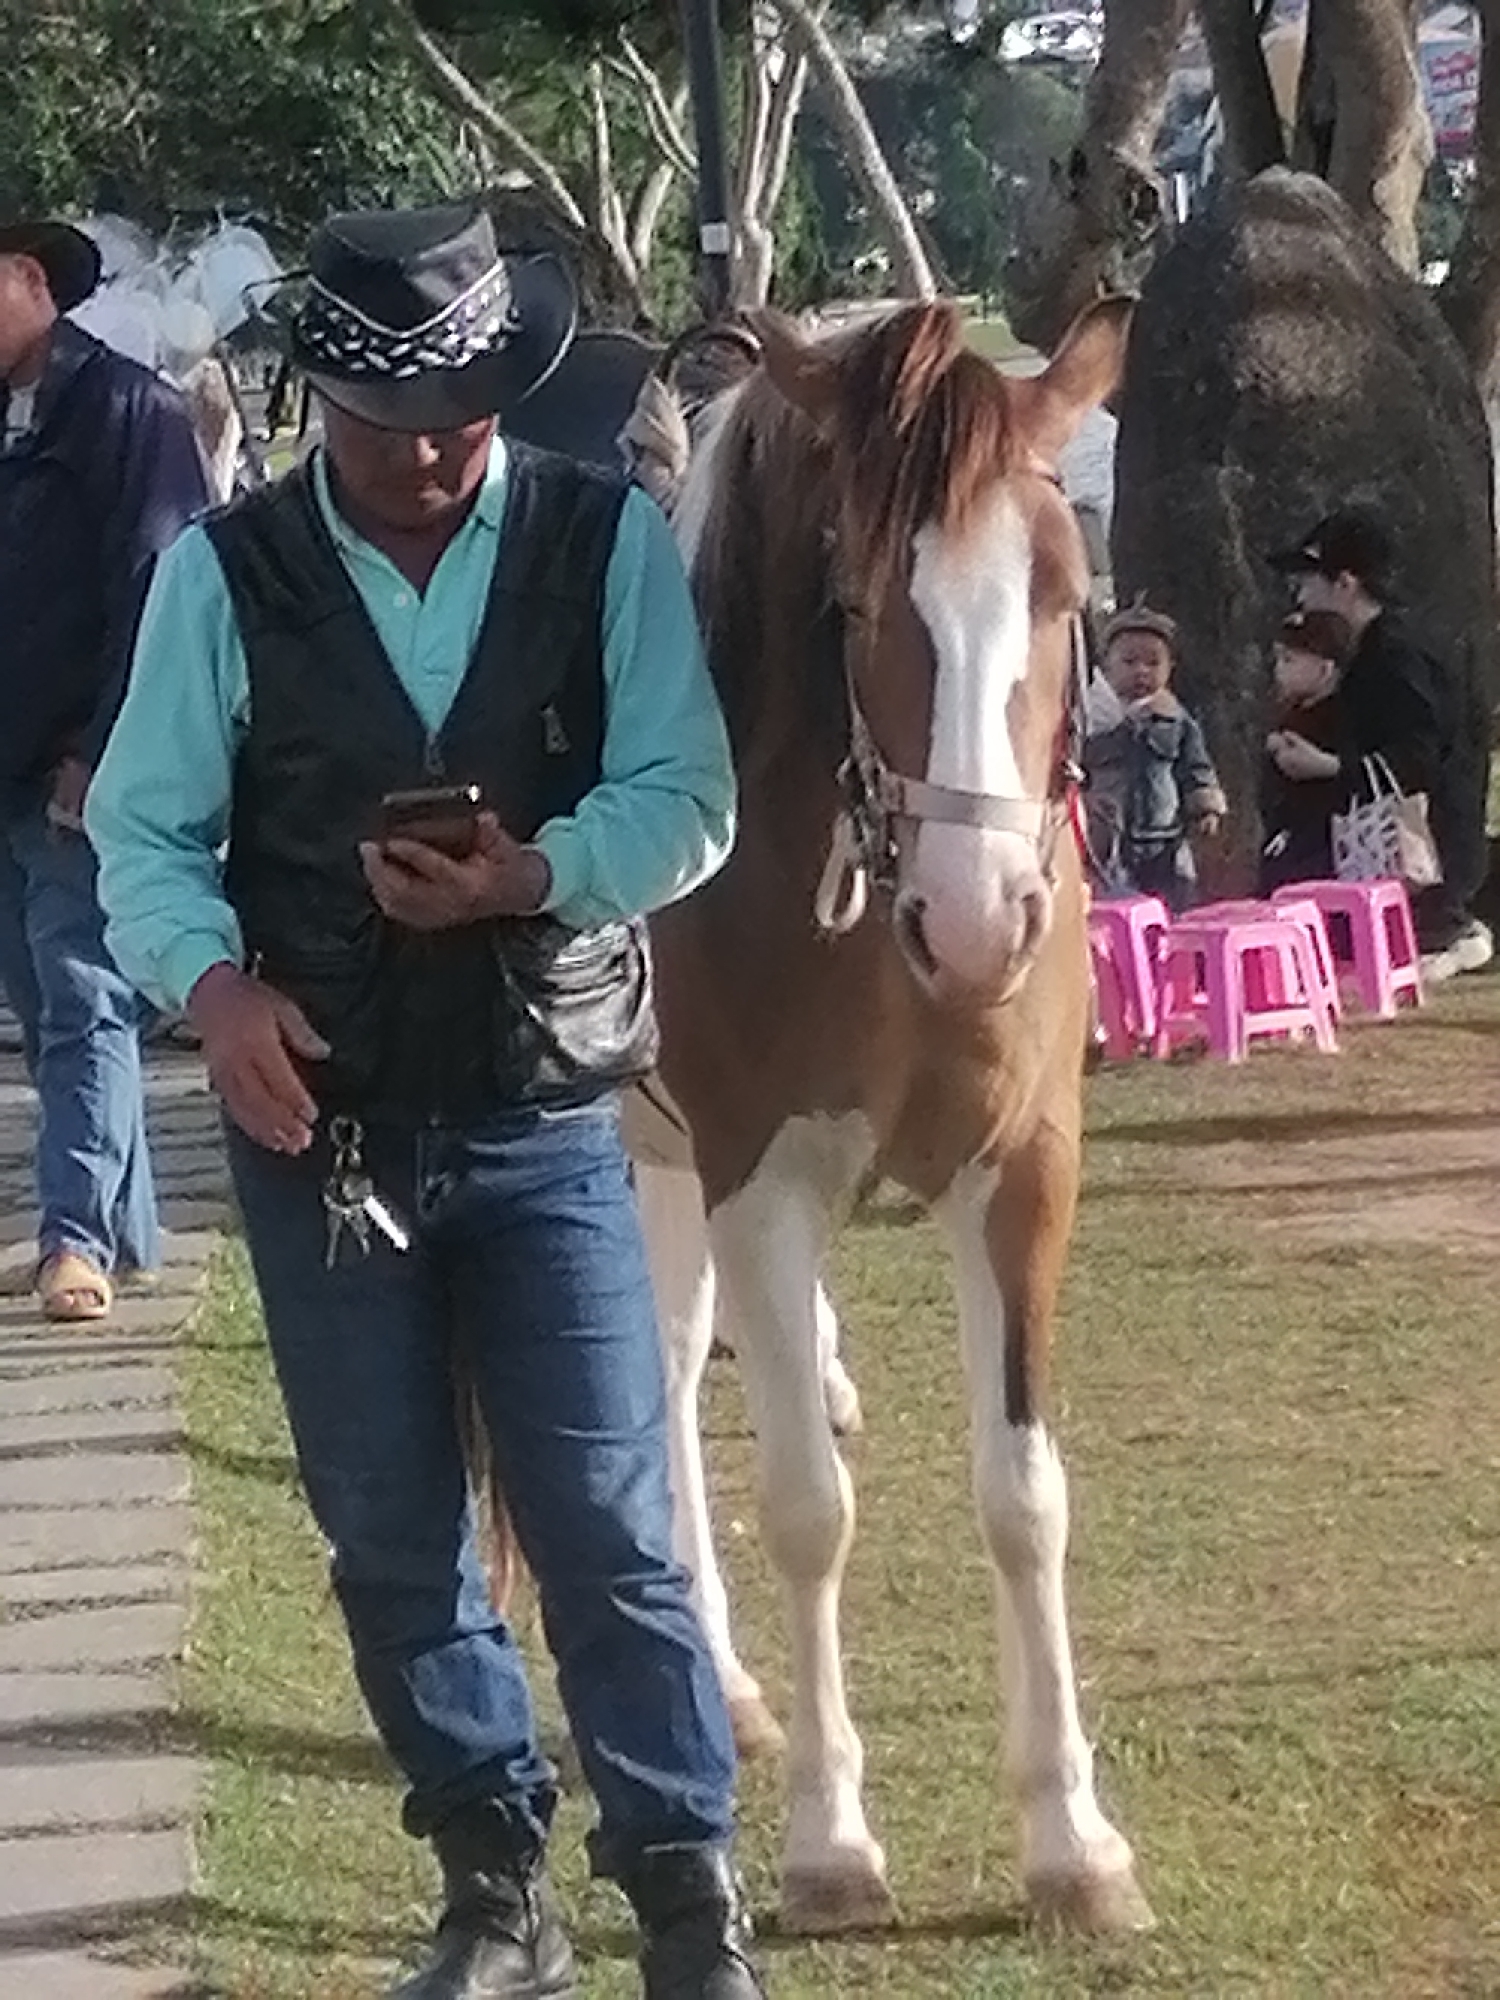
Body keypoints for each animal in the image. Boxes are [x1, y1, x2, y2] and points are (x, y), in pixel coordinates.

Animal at [626, 292, 1152, 1939]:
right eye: (857, 603)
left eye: (1064, 594)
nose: (979, 923)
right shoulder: (759, 1181)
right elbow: (809, 1506)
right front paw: (831, 1840)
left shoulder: (1024, 1175)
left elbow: (1025, 1496)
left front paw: (1071, 1837)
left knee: (673, 1365)